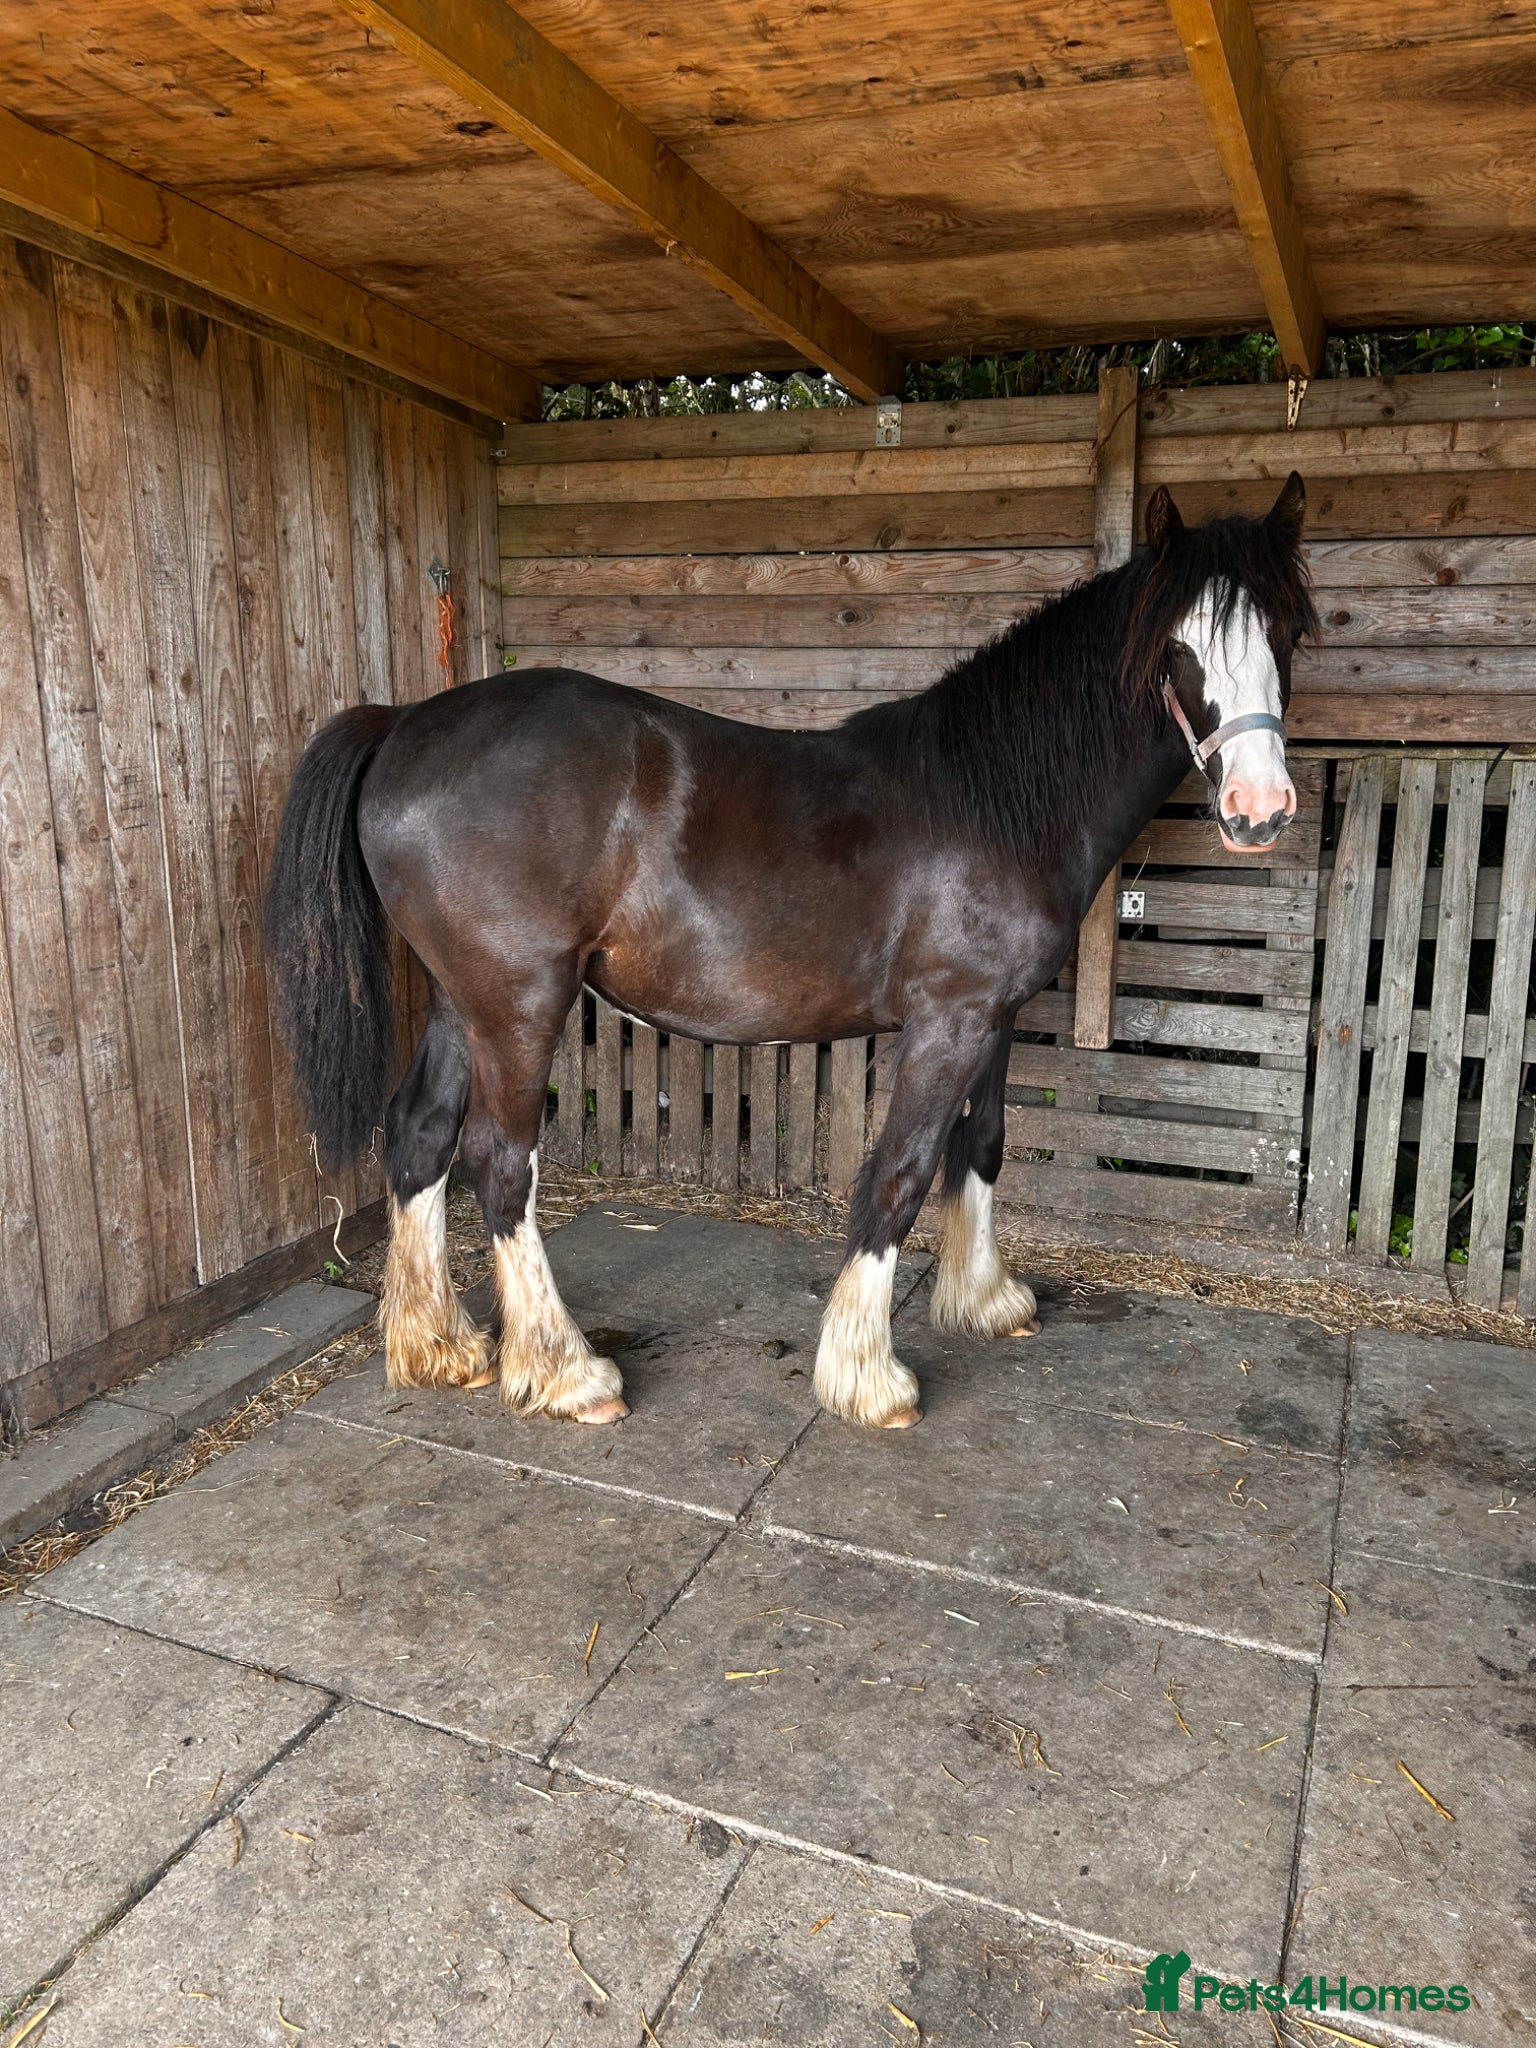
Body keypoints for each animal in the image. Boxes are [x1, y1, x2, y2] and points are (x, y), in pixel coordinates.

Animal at [264, 472, 1315, 1431]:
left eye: (1291, 633)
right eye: (1180, 647)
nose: (1259, 811)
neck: (993, 798)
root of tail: (404, 723)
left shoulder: (997, 1015)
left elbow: (979, 1146)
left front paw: (985, 1300)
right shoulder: (948, 1022)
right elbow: (898, 1175)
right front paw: (867, 1377)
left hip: (464, 1000)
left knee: (421, 1136)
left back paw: (441, 1345)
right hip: (520, 1003)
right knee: (500, 1162)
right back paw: (566, 1373)